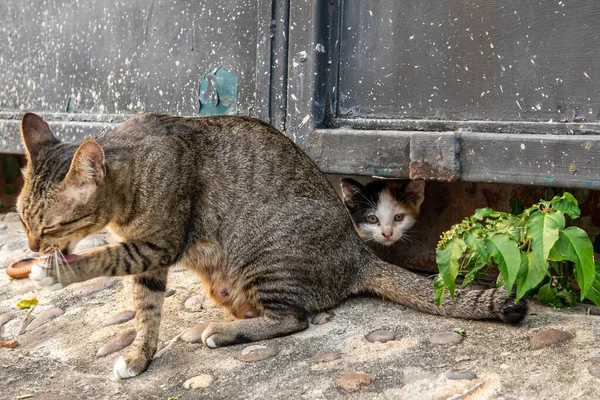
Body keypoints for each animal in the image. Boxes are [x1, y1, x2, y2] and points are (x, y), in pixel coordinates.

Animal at [17, 111, 524, 378]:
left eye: (47, 226)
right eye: (22, 219)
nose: (31, 243)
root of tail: (357, 250)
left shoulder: (156, 245)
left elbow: (104, 258)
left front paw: (56, 271)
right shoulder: (149, 263)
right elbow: (146, 312)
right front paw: (139, 355)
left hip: (267, 258)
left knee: (293, 319)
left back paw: (226, 331)